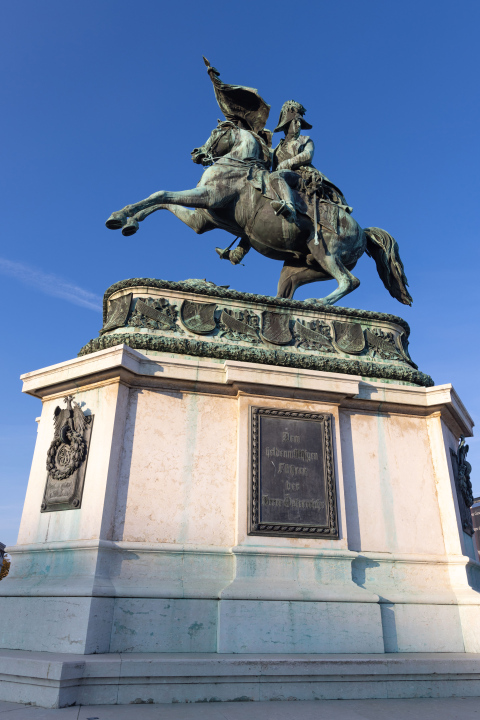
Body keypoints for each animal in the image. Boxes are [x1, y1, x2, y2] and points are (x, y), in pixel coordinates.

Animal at [106, 121, 412, 306]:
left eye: (216, 132)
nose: (196, 152)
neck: (237, 164)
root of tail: (362, 231)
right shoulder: (202, 220)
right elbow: (162, 201)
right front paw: (128, 221)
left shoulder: (207, 197)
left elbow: (161, 194)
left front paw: (119, 216)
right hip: (300, 269)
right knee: (288, 294)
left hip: (326, 253)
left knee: (350, 281)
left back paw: (317, 303)